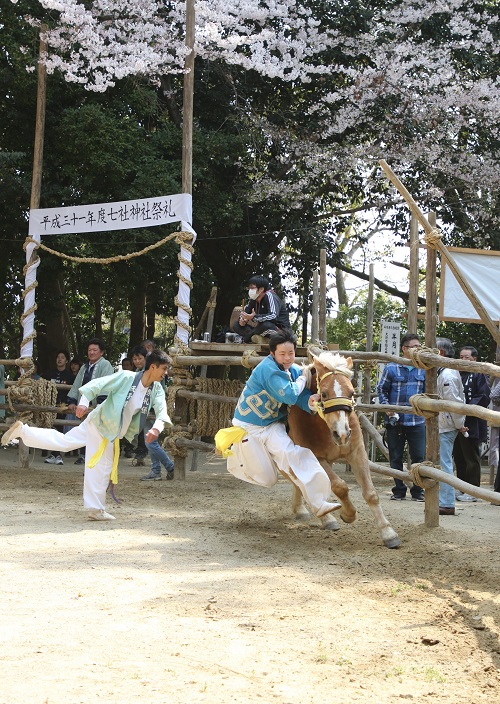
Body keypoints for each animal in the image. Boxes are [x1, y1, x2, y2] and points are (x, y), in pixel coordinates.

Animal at [288, 352, 400, 552]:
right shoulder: (317, 457)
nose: (342, 433)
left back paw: (303, 510)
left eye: (352, 393)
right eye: (324, 393)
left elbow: (371, 493)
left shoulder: (357, 452)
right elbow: (340, 486)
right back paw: (323, 516)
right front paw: (348, 514)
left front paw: (388, 533)